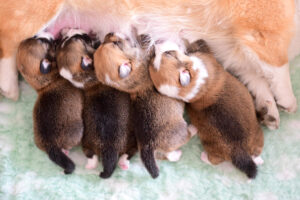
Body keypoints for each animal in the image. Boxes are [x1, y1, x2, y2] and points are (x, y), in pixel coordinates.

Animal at [17, 32, 84, 173]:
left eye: (35, 38)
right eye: (44, 42)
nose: (54, 36)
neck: (46, 82)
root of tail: (51, 146)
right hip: (77, 130)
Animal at [55, 28, 137, 178]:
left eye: (73, 38)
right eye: (81, 38)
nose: (69, 30)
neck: (85, 78)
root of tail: (109, 149)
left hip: (86, 142)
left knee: (91, 156)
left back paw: (89, 165)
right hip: (131, 142)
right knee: (128, 154)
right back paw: (123, 163)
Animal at [93, 32, 195, 178]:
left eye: (110, 42)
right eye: (116, 44)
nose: (109, 33)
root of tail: (148, 145)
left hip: (159, 150)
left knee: (166, 156)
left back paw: (176, 155)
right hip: (180, 131)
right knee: (185, 137)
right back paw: (192, 129)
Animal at [149, 39, 264, 179]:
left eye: (168, 54)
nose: (156, 43)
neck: (190, 88)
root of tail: (239, 151)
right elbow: (198, 44)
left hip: (258, 135)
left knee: (256, 151)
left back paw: (258, 160)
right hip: (215, 148)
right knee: (215, 160)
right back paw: (204, 156)